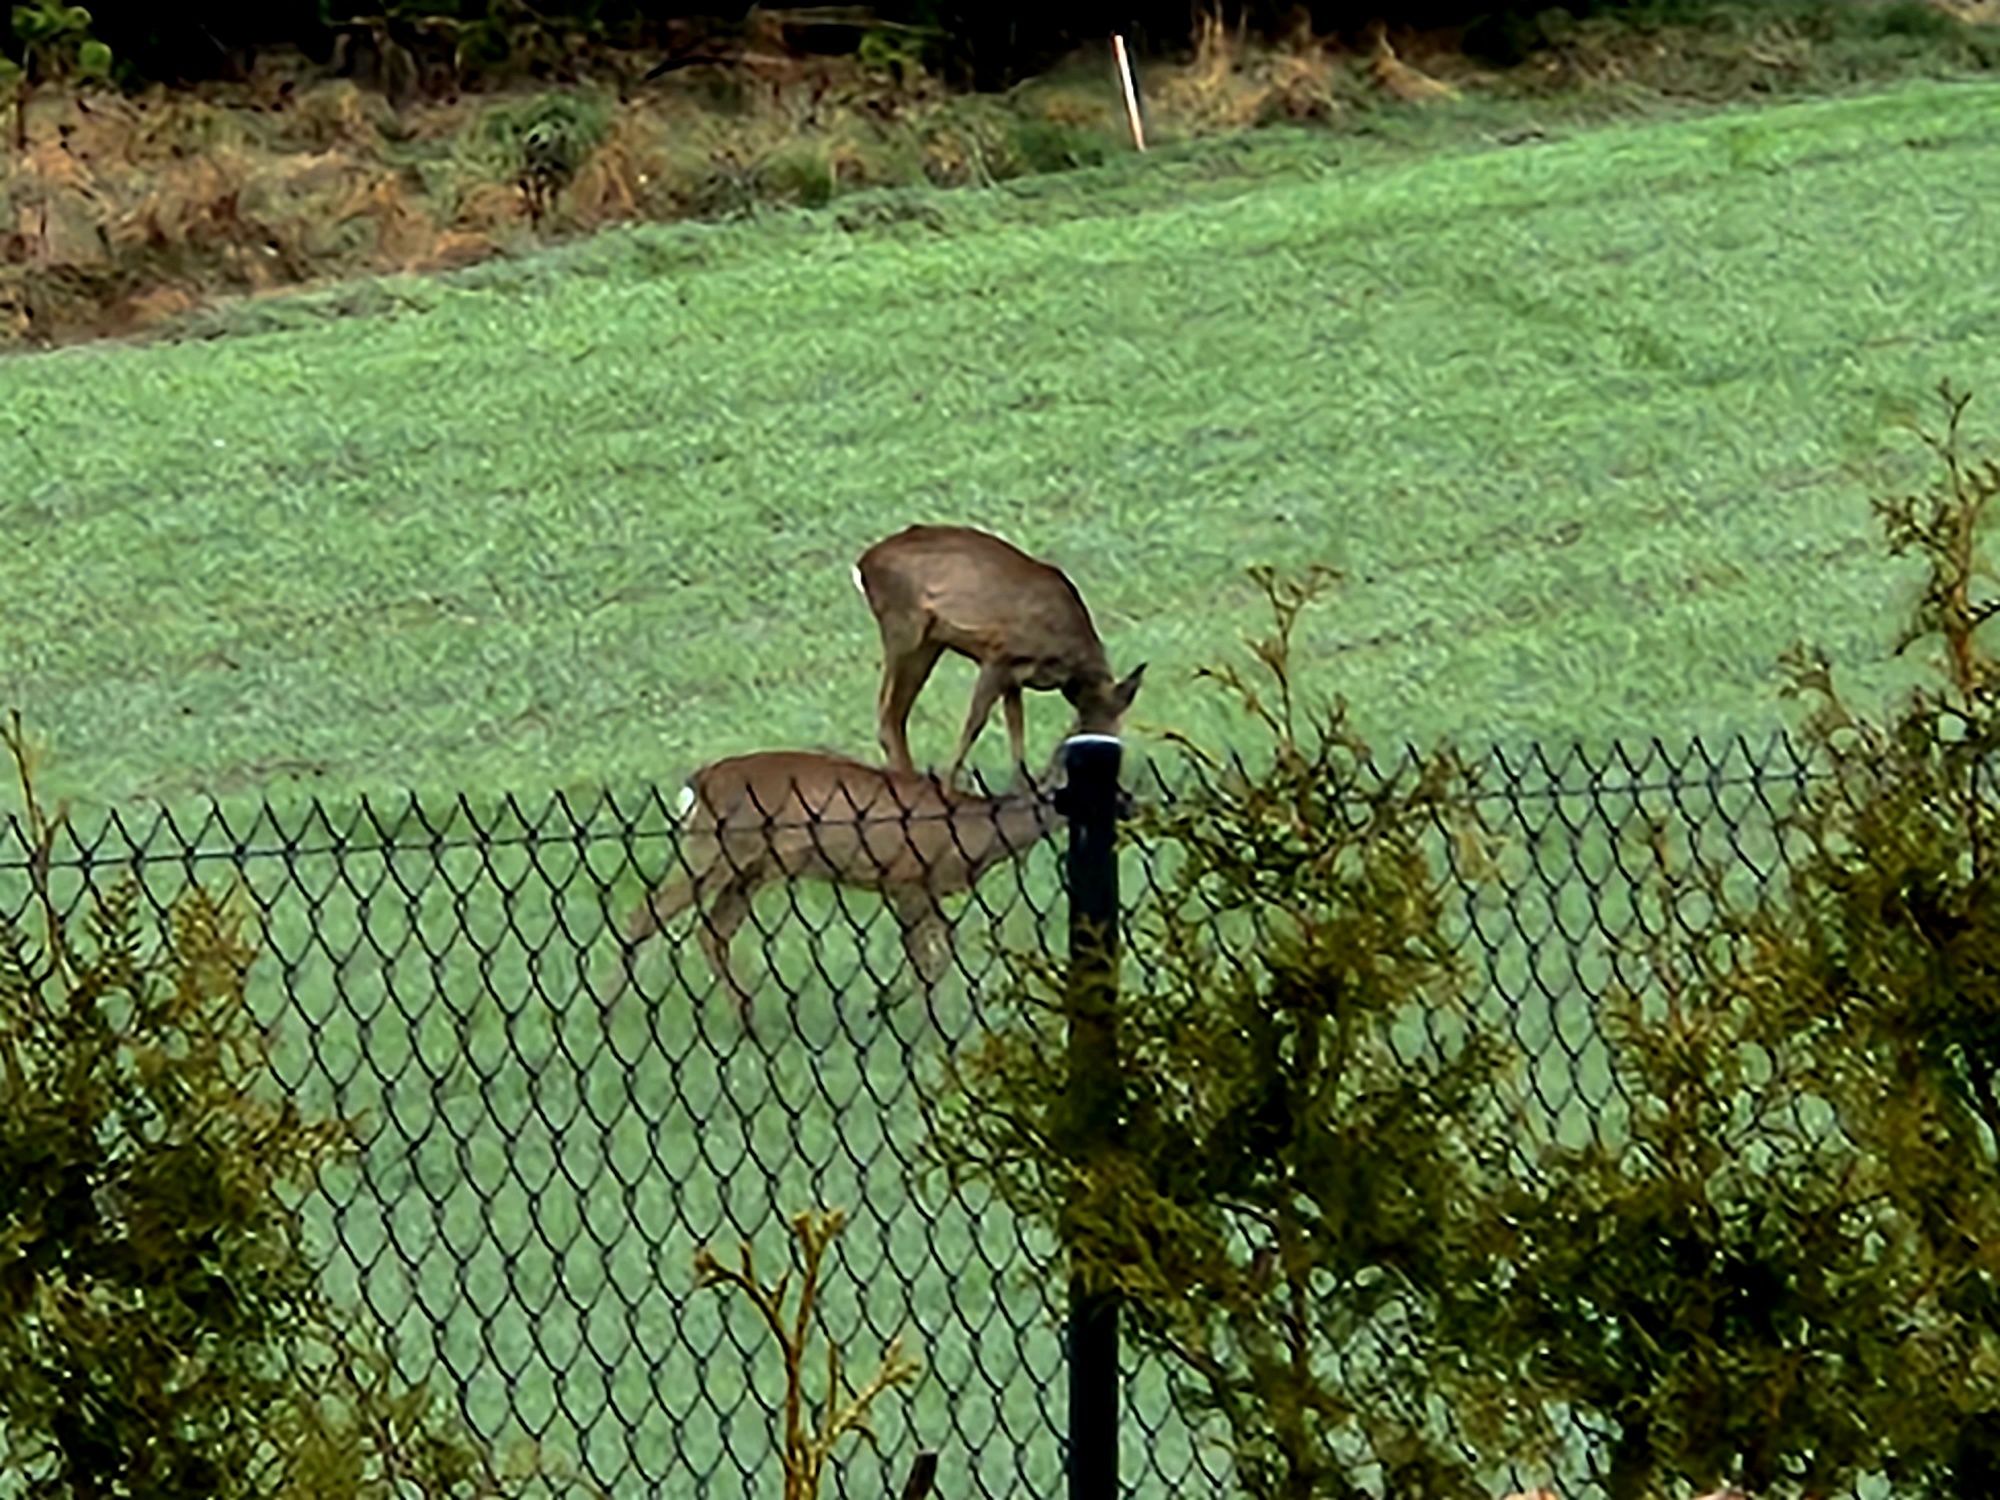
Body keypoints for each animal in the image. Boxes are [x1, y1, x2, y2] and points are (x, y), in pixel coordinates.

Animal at [608, 748, 1080, 1032]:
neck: (969, 831)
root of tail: (699, 781)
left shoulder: (919, 890)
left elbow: (940, 952)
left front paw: (901, 1011)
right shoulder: (908, 880)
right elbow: (930, 956)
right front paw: (907, 1016)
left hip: (750, 869)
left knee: (712, 931)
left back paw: (747, 1019)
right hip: (716, 851)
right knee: (645, 912)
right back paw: (610, 1013)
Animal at [852, 524, 1152, 788]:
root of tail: (864, 563)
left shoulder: (1015, 676)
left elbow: (1016, 731)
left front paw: (1021, 788)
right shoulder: (998, 655)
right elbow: (974, 725)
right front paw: (951, 787)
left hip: (930, 640)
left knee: (892, 713)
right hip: (906, 629)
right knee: (889, 713)